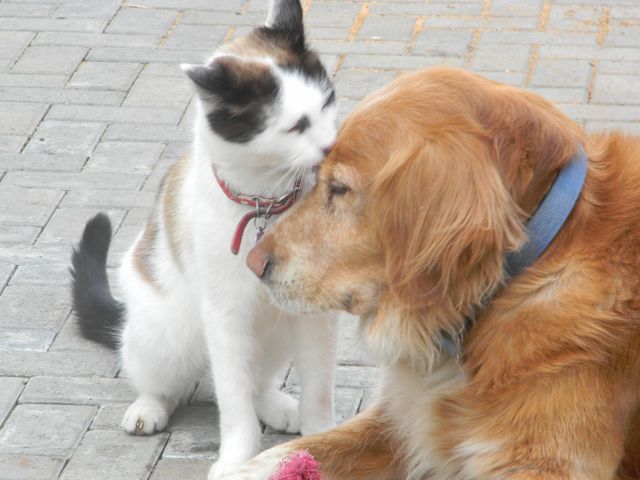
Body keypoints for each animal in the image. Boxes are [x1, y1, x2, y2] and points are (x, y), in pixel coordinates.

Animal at [69, 1, 338, 478]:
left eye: (328, 102)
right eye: (296, 127)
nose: (335, 146)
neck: (266, 202)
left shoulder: (314, 315)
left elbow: (318, 392)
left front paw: (322, 441)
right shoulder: (226, 315)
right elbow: (233, 404)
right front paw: (237, 459)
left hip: (274, 332)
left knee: (258, 381)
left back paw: (275, 404)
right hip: (169, 333)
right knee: (160, 376)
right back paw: (149, 407)